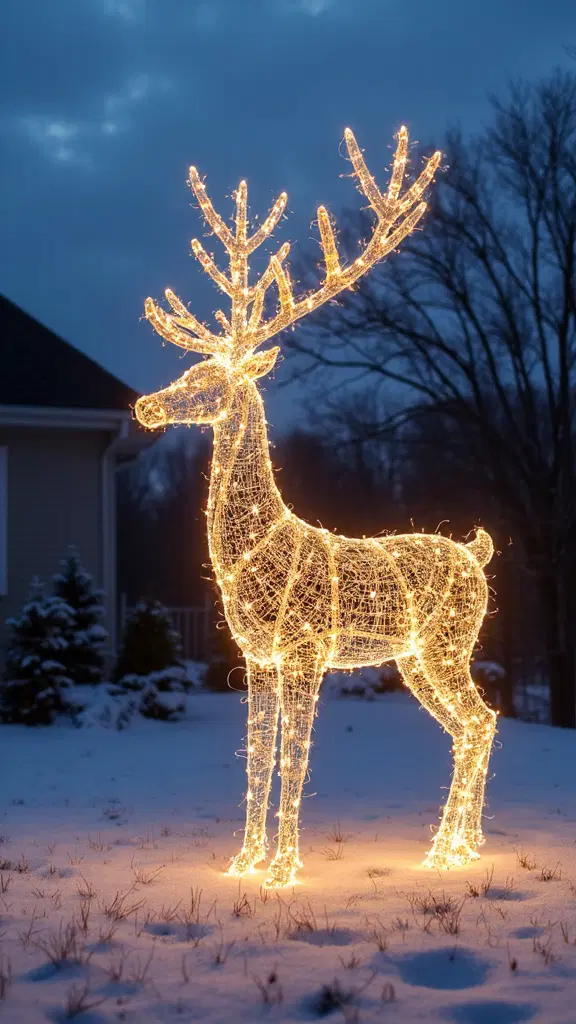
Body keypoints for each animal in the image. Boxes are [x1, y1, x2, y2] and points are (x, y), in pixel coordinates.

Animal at [135, 125, 497, 889]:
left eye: (208, 378)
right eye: (187, 366)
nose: (145, 406)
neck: (257, 548)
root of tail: (478, 554)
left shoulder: (304, 650)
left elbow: (296, 761)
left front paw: (282, 871)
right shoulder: (257, 656)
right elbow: (257, 759)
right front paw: (243, 862)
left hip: (449, 642)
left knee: (479, 721)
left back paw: (444, 852)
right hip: (417, 656)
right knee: (473, 725)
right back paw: (460, 848)